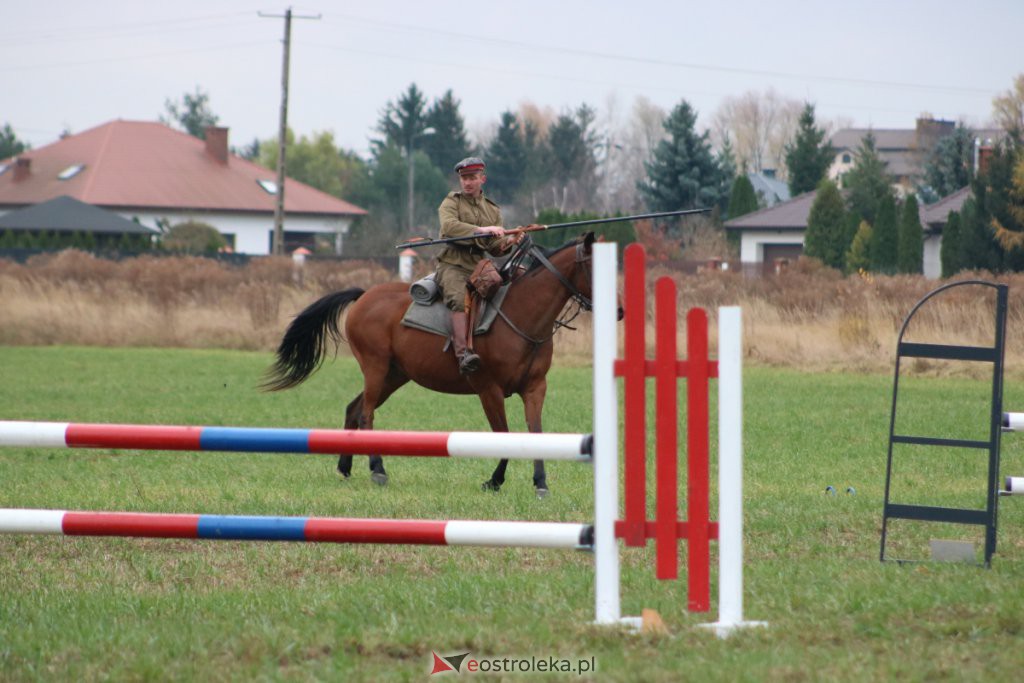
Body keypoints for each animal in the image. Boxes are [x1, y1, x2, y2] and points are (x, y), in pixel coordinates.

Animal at [262, 232, 598, 493]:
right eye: (593, 267)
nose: (611, 307)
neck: (520, 315)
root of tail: (364, 296)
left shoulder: (535, 388)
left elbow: (536, 433)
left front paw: (540, 483)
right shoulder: (488, 390)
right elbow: (503, 435)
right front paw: (495, 480)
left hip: (395, 376)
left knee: (353, 409)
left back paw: (345, 467)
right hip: (375, 368)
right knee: (366, 414)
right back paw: (377, 469)